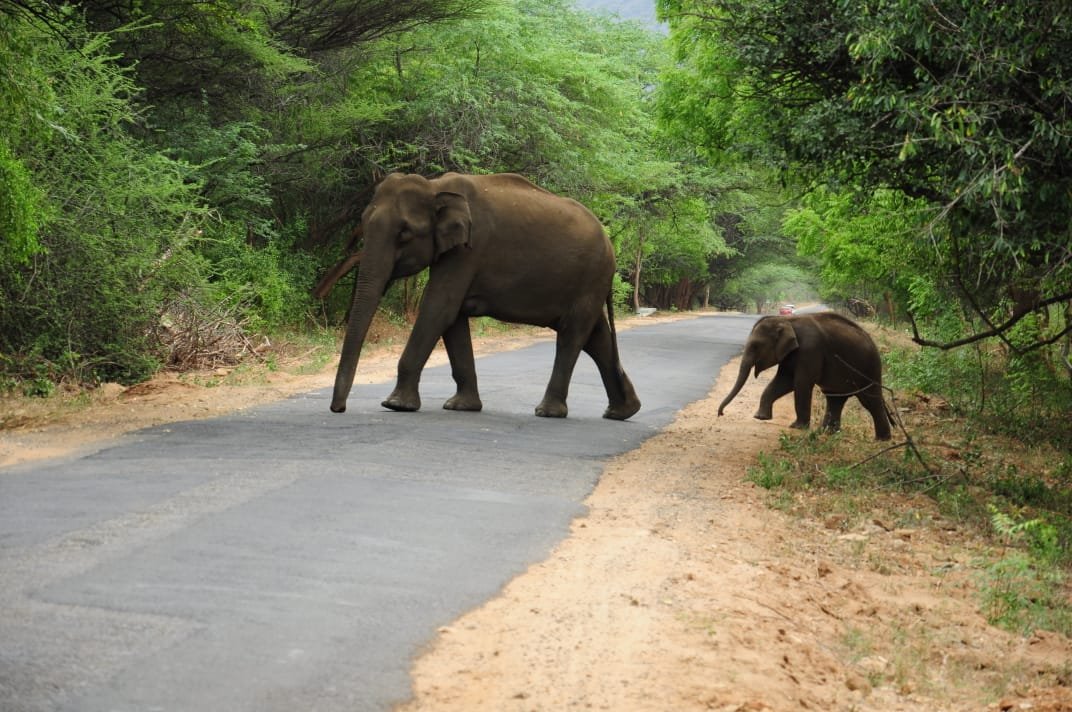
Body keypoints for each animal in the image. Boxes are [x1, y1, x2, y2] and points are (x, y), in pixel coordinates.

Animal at [330, 171, 638, 422]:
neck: (435, 187)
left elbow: (439, 307)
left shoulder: (469, 249)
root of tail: (609, 243)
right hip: (588, 282)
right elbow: (452, 317)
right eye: (362, 224)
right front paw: (460, 407)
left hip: (591, 277)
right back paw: (622, 411)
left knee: (572, 336)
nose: (338, 409)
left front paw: (395, 405)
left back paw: (548, 412)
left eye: (404, 233)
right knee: (595, 337)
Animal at [720, 310, 896, 439]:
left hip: (870, 368)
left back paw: (882, 440)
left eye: (756, 346)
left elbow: (801, 383)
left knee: (870, 400)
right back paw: (827, 432)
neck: (787, 321)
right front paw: (760, 417)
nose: (720, 413)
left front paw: (797, 427)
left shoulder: (810, 349)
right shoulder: (791, 352)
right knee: (835, 399)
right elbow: (784, 381)